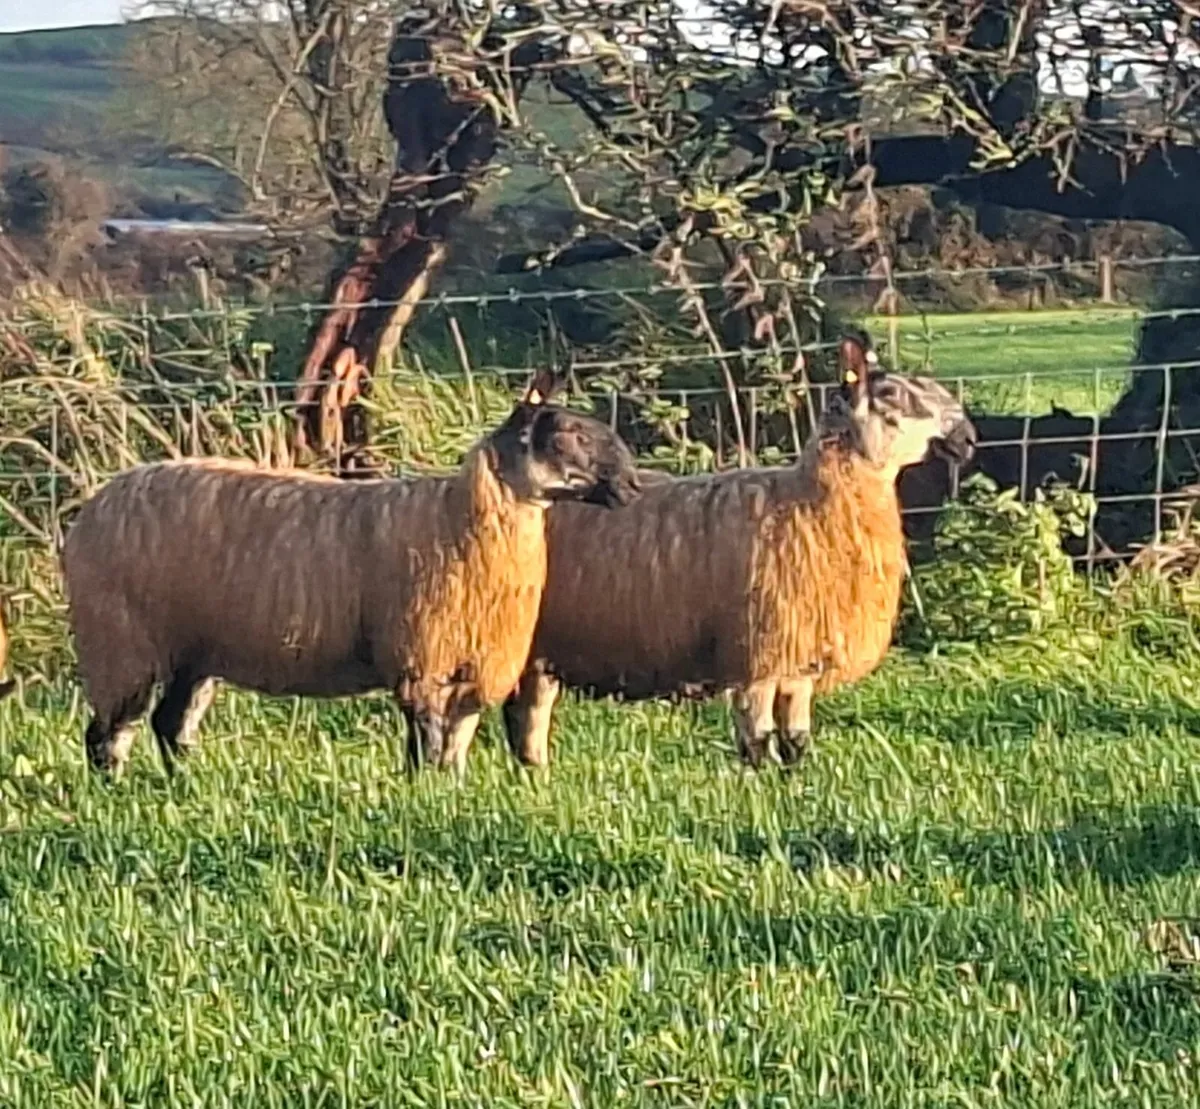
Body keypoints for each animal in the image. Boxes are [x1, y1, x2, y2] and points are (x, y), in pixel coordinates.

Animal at [61, 368, 642, 776]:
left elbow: (453, 747)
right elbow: (427, 744)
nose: (632, 486)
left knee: (169, 723)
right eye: (568, 432)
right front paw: (425, 793)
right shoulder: (422, 658)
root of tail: (90, 510)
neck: (462, 517)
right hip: (121, 641)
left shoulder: (472, 662)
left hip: (196, 647)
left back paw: (185, 783)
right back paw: (113, 789)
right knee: (109, 733)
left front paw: (448, 792)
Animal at [502, 331, 977, 770]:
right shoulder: (757, 658)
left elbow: (796, 740)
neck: (808, 505)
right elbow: (758, 742)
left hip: (538, 651)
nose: (968, 438)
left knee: (528, 721)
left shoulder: (796, 658)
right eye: (892, 394)